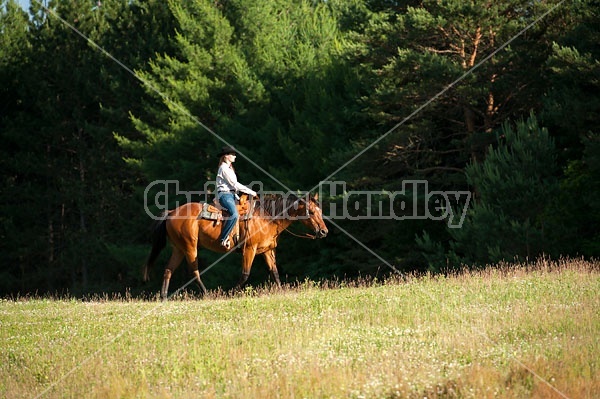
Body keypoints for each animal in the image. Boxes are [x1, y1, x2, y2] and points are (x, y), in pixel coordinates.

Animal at [143, 192, 328, 298]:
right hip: (190, 248)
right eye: (311, 212)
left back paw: (163, 296)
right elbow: (245, 274)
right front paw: (232, 293)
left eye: (320, 211)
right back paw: (207, 294)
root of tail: (171, 213)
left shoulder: (267, 250)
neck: (267, 217)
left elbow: (274, 272)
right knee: (194, 272)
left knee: (168, 270)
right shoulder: (250, 249)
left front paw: (282, 292)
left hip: (179, 248)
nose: (324, 231)